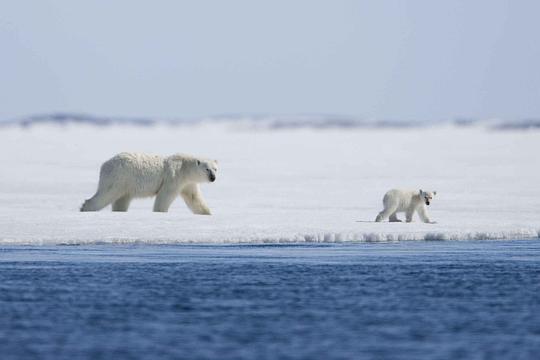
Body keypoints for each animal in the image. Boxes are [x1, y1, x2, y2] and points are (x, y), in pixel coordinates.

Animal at [80, 152, 217, 214]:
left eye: (215, 169)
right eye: (207, 169)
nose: (213, 178)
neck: (185, 167)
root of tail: (105, 164)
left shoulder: (188, 183)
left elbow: (194, 198)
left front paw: (208, 213)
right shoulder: (173, 177)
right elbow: (165, 196)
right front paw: (160, 212)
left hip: (125, 183)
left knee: (121, 200)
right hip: (119, 177)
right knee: (106, 194)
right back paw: (85, 208)